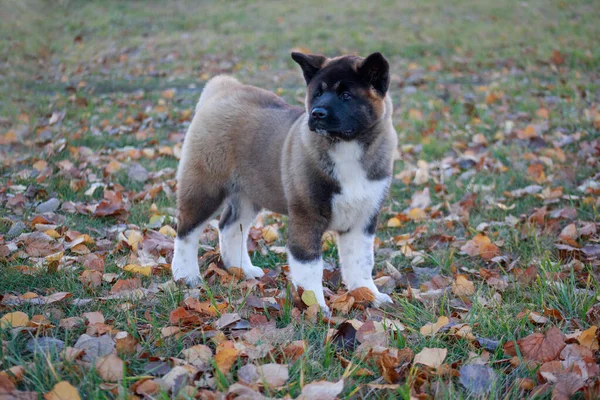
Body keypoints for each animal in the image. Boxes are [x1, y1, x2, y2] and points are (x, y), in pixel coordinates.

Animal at [171, 51, 398, 312]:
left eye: (346, 95)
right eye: (317, 93)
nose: (317, 113)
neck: (346, 146)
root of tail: (224, 89)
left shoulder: (363, 219)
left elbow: (361, 262)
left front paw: (369, 295)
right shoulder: (306, 215)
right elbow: (310, 266)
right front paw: (316, 306)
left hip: (249, 194)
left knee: (230, 226)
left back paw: (242, 269)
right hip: (204, 188)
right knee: (186, 231)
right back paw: (185, 275)